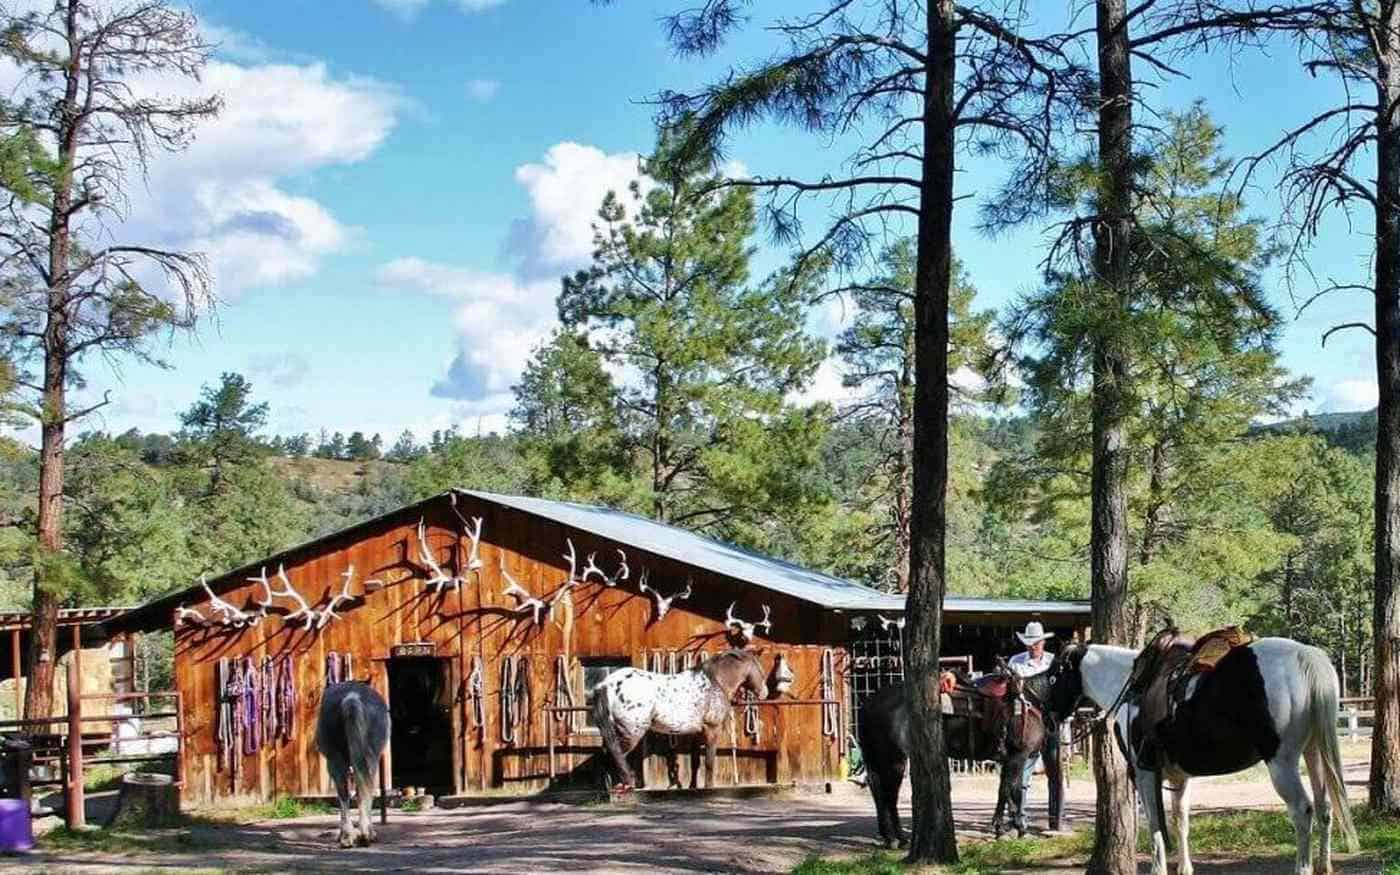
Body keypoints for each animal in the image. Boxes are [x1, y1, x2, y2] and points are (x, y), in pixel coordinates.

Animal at [313, 683, 389, 845]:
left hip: (336, 760)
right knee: (361, 792)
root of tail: (351, 697)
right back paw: (364, 835)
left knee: (345, 794)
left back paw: (348, 837)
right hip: (369, 759)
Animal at [590, 649, 789, 789]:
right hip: (631, 733)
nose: (764, 693)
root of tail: (607, 684)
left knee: (607, 754)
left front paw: (693, 787)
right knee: (614, 755)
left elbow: (695, 763)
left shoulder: (697, 733)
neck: (716, 682)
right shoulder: (712, 730)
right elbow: (709, 762)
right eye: (759, 668)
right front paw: (709, 788)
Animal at [851, 660, 1052, 845]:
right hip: (893, 759)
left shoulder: (1008, 759)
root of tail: (868, 703)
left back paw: (891, 837)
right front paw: (1011, 827)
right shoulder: (1018, 756)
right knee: (889, 794)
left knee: (879, 790)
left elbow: (1007, 790)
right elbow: (1012, 790)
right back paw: (897, 838)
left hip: (880, 758)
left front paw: (1005, 828)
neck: (1030, 701)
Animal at [1047, 635, 1360, 873]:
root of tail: (1305, 656)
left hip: (1282, 763)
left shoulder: (1144, 772)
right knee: (1324, 807)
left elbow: (1155, 827)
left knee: (1302, 811)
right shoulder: (1179, 777)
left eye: (1052, 676)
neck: (1131, 688)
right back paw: (1323, 866)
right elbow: (1180, 820)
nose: (1049, 716)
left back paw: (1303, 867)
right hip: (1314, 751)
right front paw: (1185, 868)